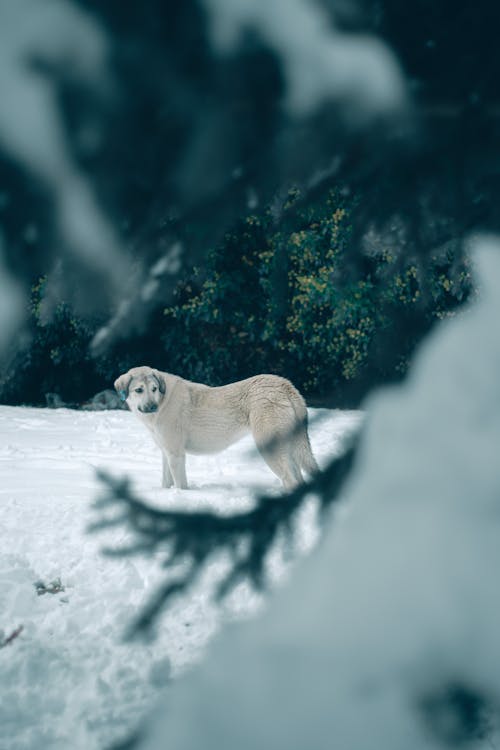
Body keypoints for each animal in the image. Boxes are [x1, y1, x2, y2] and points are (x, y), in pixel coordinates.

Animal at [114, 366, 318, 494]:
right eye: (139, 390)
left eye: (154, 388)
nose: (152, 407)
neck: (163, 401)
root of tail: (285, 385)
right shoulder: (166, 453)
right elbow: (165, 483)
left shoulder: (176, 454)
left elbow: (181, 485)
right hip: (290, 450)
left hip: (269, 449)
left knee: (290, 481)